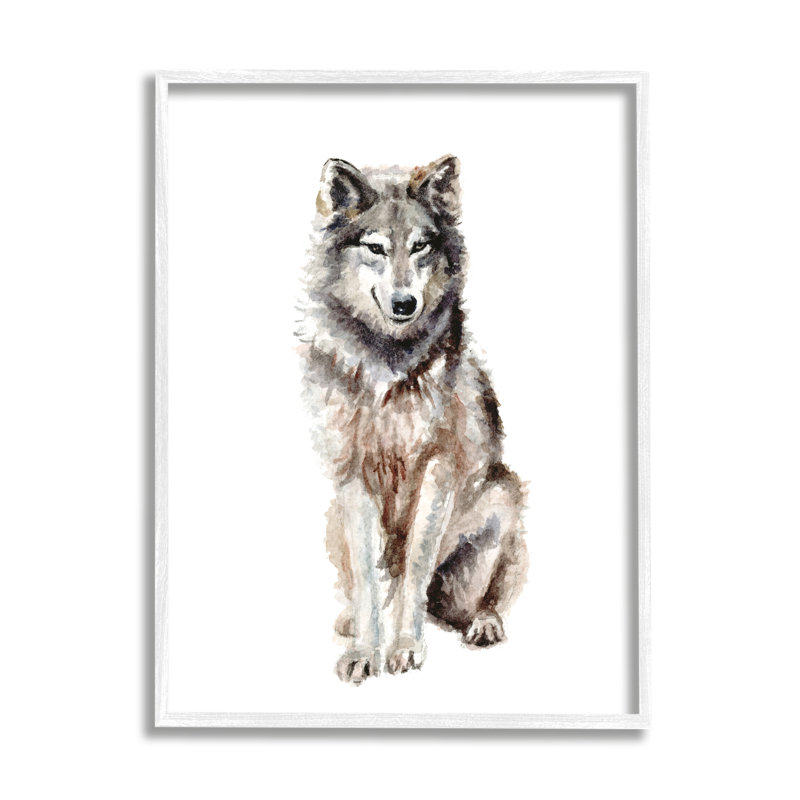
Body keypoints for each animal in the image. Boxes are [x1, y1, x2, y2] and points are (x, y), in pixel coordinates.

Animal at [297, 155, 527, 684]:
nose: (405, 303)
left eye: (421, 246)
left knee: (467, 600)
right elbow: (367, 577)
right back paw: (349, 620)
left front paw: (404, 647)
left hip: (503, 498)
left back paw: (483, 623)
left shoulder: (436, 468)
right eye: (376, 248)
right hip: (332, 518)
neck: (387, 363)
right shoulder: (353, 473)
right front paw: (364, 651)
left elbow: (415, 567)